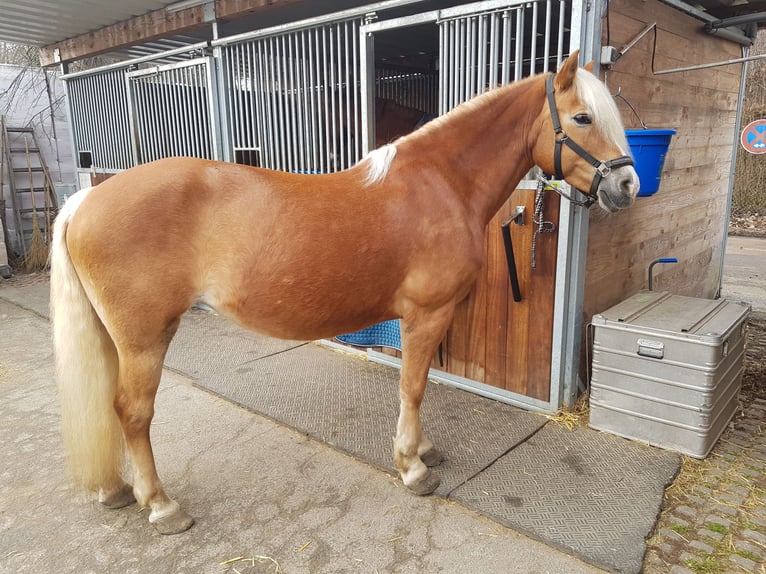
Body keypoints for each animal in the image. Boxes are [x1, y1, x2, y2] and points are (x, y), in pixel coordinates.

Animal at [49, 51, 640, 536]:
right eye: (583, 117)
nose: (628, 185)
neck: (441, 182)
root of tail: (86, 201)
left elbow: (418, 382)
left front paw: (422, 450)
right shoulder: (426, 313)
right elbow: (413, 387)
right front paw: (412, 466)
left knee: (109, 407)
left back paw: (117, 489)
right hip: (144, 338)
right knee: (132, 413)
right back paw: (162, 505)